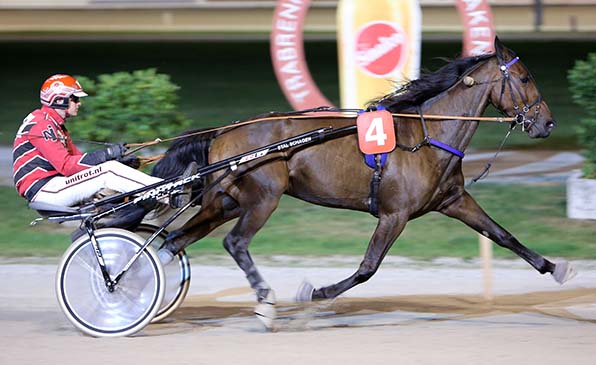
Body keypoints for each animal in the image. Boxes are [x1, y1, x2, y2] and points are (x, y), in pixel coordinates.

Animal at [147, 37, 576, 328]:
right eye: (524, 78)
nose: (548, 122)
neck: (427, 136)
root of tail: (223, 131)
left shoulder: (453, 199)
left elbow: (503, 235)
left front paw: (555, 268)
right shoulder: (394, 214)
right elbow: (369, 266)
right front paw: (316, 293)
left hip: (225, 201)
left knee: (175, 240)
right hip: (263, 198)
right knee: (234, 243)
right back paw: (265, 302)